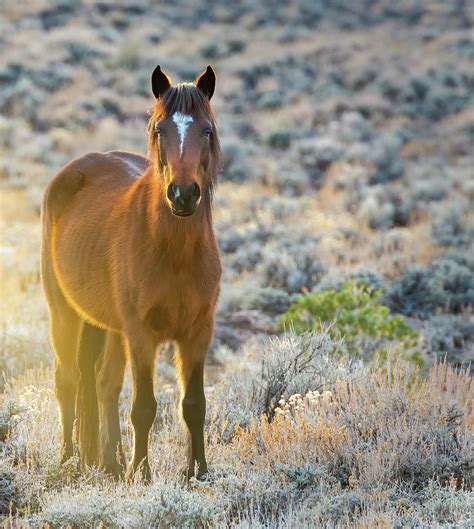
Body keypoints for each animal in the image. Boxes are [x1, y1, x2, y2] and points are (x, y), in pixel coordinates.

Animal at [40, 64, 222, 480]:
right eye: (159, 130)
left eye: (207, 130)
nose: (183, 194)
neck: (175, 254)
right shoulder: (141, 334)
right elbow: (144, 407)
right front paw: (142, 473)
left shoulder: (198, 332)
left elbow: (194, 404)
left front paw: (198, 473)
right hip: (65, 314)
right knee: (68, 380)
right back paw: (69, 459)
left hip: (109, 327)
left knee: (103, 382)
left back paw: (110, 461)